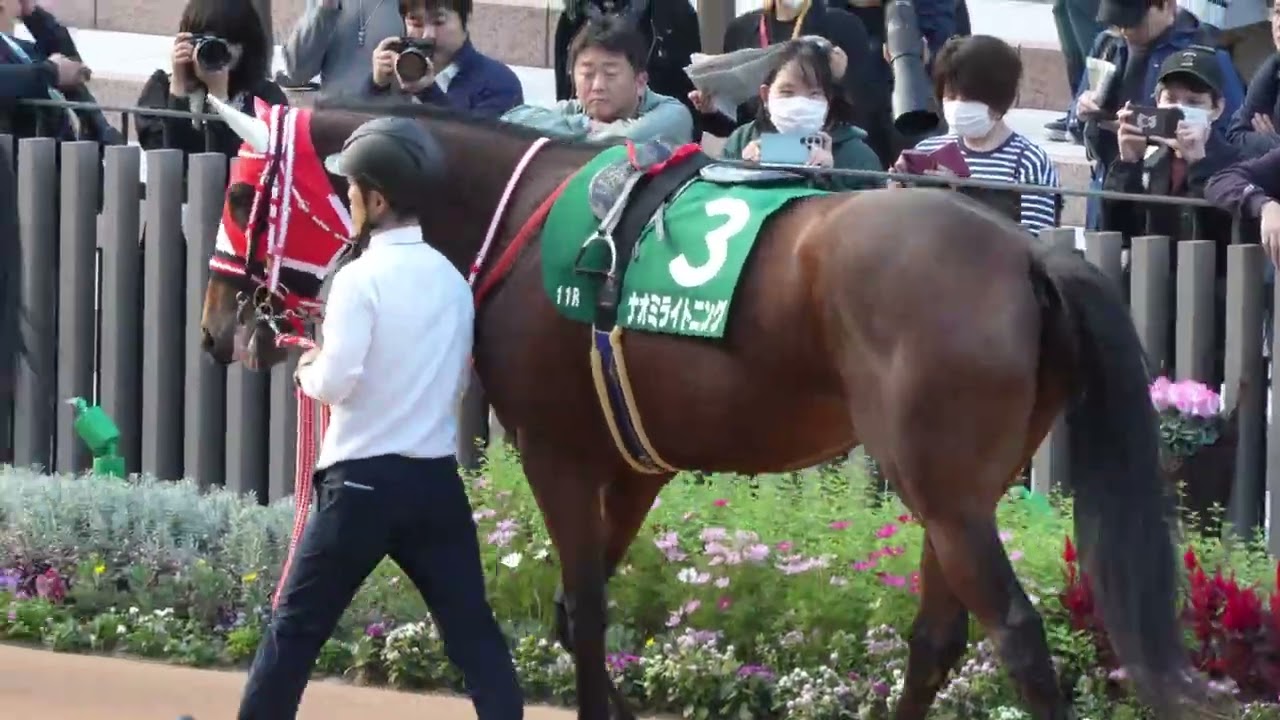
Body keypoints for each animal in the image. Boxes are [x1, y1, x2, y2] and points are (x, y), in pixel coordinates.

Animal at [196, 97, 1214, 720]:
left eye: (242, 194)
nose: (215, 329)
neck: (521, 209)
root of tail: (1027, 253)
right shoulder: (635, 466)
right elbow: (571, 609)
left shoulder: (555, 450)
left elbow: (585, 609)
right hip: (959, 495)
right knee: (939, 637)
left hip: (947, 492)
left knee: (1018, 642)